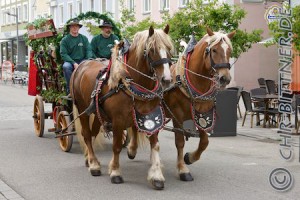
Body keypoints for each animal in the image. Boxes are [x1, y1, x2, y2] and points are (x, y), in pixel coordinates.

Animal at [70, 25, 173, 189]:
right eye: (152, 49)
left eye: (169, 49)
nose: (167, 79)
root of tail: (81, 65)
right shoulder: (118, 120)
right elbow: (117, 146)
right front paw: (115, 172)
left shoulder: (151, 116)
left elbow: (155, 145)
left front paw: (156, 175)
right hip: (82, 109)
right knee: (86, 134)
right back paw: (93, 164)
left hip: (98, 113)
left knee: (93, 133)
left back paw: (89, 158)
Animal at [163, 27, 236, 181]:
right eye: (214, 50)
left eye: (229, 51)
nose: (225, 78)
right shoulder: (177, 116)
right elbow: (179, 142)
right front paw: (182, 169)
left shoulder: (202, 115)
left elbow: (204, 142)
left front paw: (190, 158)